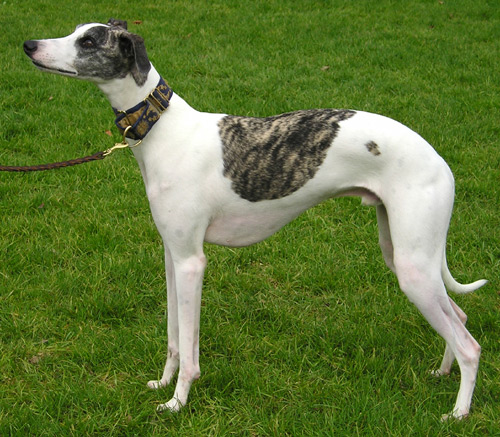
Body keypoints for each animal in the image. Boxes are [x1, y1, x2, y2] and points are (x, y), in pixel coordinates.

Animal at [23, 18, 488, 418]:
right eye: (76, 31)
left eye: (88, 41)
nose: (28, 45)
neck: (163, 131)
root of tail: (440, 161)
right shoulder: (173, 255)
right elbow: (174, 338)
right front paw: (163, 382)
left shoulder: (192, 263)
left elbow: (190, 347)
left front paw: (178, 402)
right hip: (404, 253)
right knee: (458, 318)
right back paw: (442, 373)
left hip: (413, 268)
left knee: (469, 344)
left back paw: (458, 412)